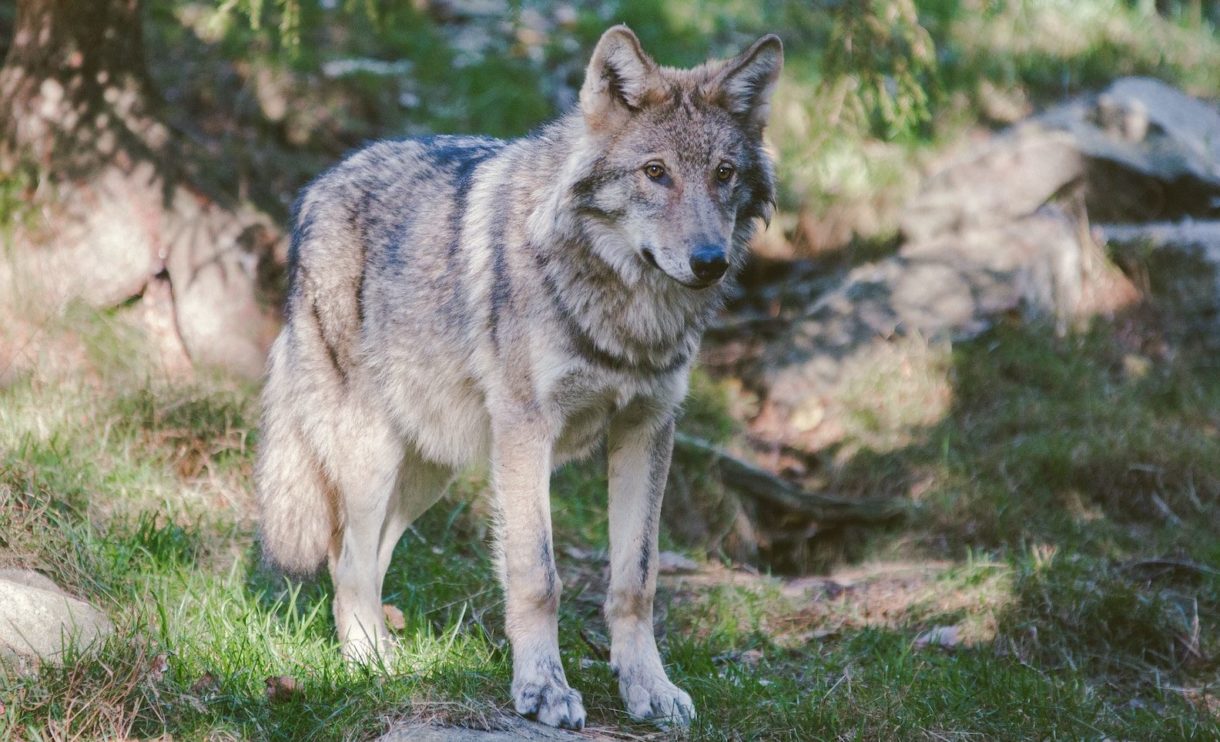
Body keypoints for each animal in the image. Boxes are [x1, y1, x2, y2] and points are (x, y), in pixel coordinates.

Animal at [255, 25, 782, 729]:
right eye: (655, 172)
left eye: (723, 174)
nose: (709, 262)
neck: (627, 313)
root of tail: (316, 188)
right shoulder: (529, 432)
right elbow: (538, 576)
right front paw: (543, 689)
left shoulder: (648, 428)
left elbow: (636, 580)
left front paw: (648, 687)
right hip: (371, 456)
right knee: (347, 562)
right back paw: (370, 665)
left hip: (430, 468)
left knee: (372, 555)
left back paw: (390, 656)